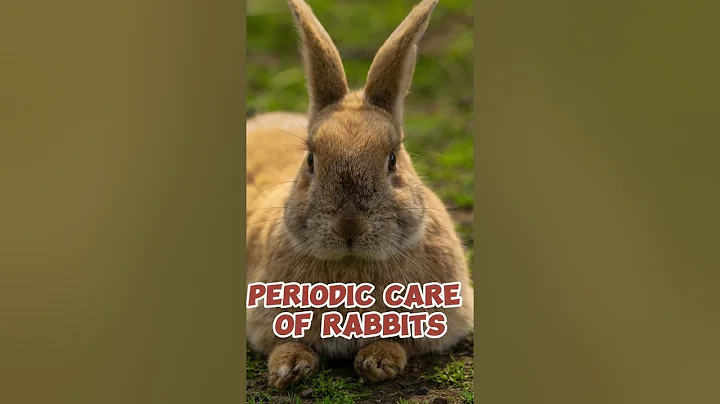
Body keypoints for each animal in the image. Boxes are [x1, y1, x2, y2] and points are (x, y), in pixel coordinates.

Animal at [246, 0, 473, 389]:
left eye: (392, 159)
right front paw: (287, 368)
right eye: (311, 159)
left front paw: (378, 360)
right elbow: (285, 340)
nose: (349, 226)